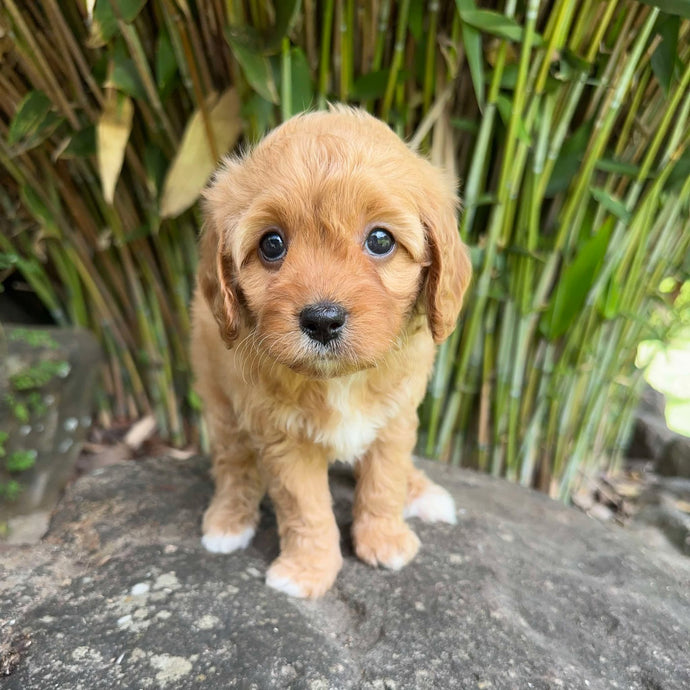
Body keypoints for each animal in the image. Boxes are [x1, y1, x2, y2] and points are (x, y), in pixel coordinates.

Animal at [194, 103, 472, 596]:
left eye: (380, 240)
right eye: (272, 244)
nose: (322, 319)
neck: (341, 380)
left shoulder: (397, 415)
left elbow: (384, 480)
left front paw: (385, 540)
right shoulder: (281, 437)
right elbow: (305, 508)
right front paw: (307, 569)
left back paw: (422, 492)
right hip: (219, 399)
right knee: (232, 462)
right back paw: (228, 520)